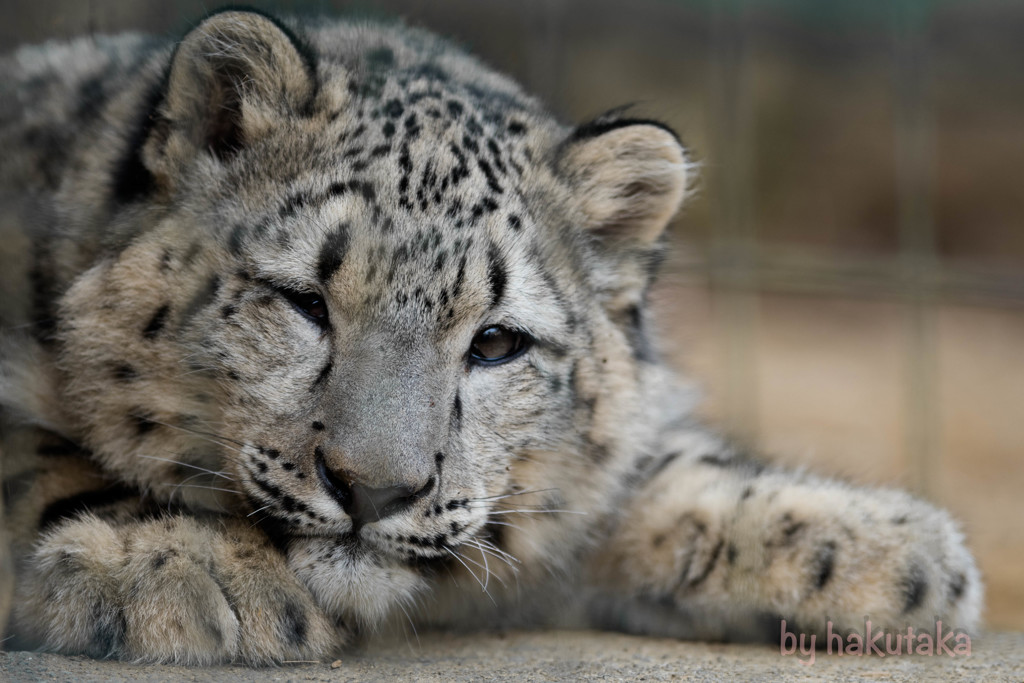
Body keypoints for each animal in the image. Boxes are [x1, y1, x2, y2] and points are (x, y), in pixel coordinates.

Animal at [0, 7, 978, 663]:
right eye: (305, 299)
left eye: (497, 342)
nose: (374, 488)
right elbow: (32, 450)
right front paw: (187, 563)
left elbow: (636, 477)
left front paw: (888, 555)